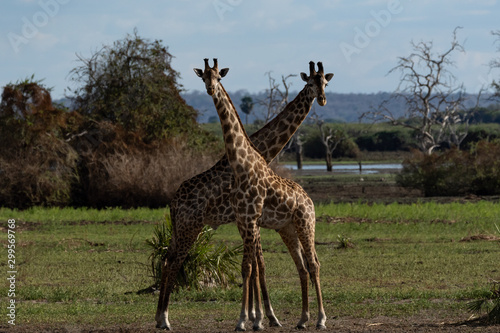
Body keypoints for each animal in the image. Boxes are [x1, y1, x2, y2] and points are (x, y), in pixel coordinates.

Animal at [154, 58, 334, 328]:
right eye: (311, 83)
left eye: (324, 83)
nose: (322, 99)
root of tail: (174, 202)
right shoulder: (247, 221)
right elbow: (256, 266)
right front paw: (259, 317)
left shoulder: (249, 222)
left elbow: (255, 266)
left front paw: (260, 317)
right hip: (190, 226)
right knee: (173, 261)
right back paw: (164, 319)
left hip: (184, 227)